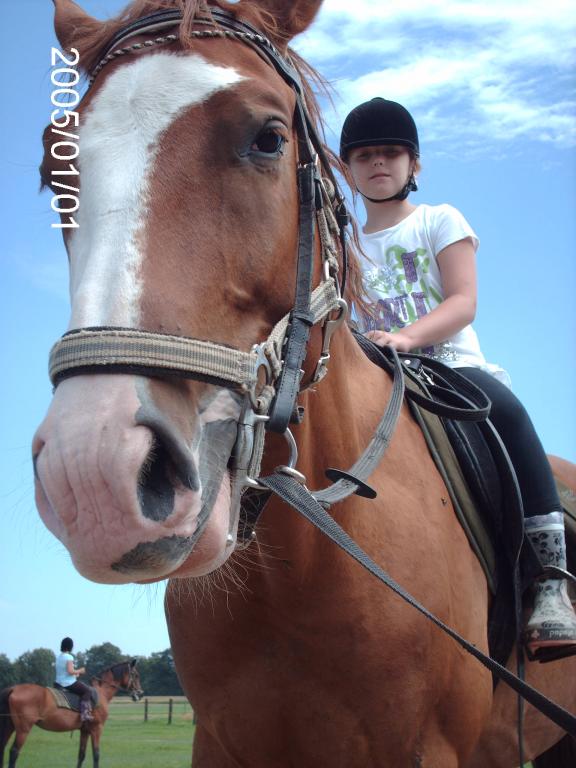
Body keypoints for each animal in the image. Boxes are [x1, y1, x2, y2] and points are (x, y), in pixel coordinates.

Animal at [0, 660, 142, 768]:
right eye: (135, 674)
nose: (140, 694)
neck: (101, 692)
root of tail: (13, 689)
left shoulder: (85, 730)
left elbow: (81, 755)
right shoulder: (97, 728)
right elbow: (96, 755)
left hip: (10, 726)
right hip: (23, 729)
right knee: (14, 752)